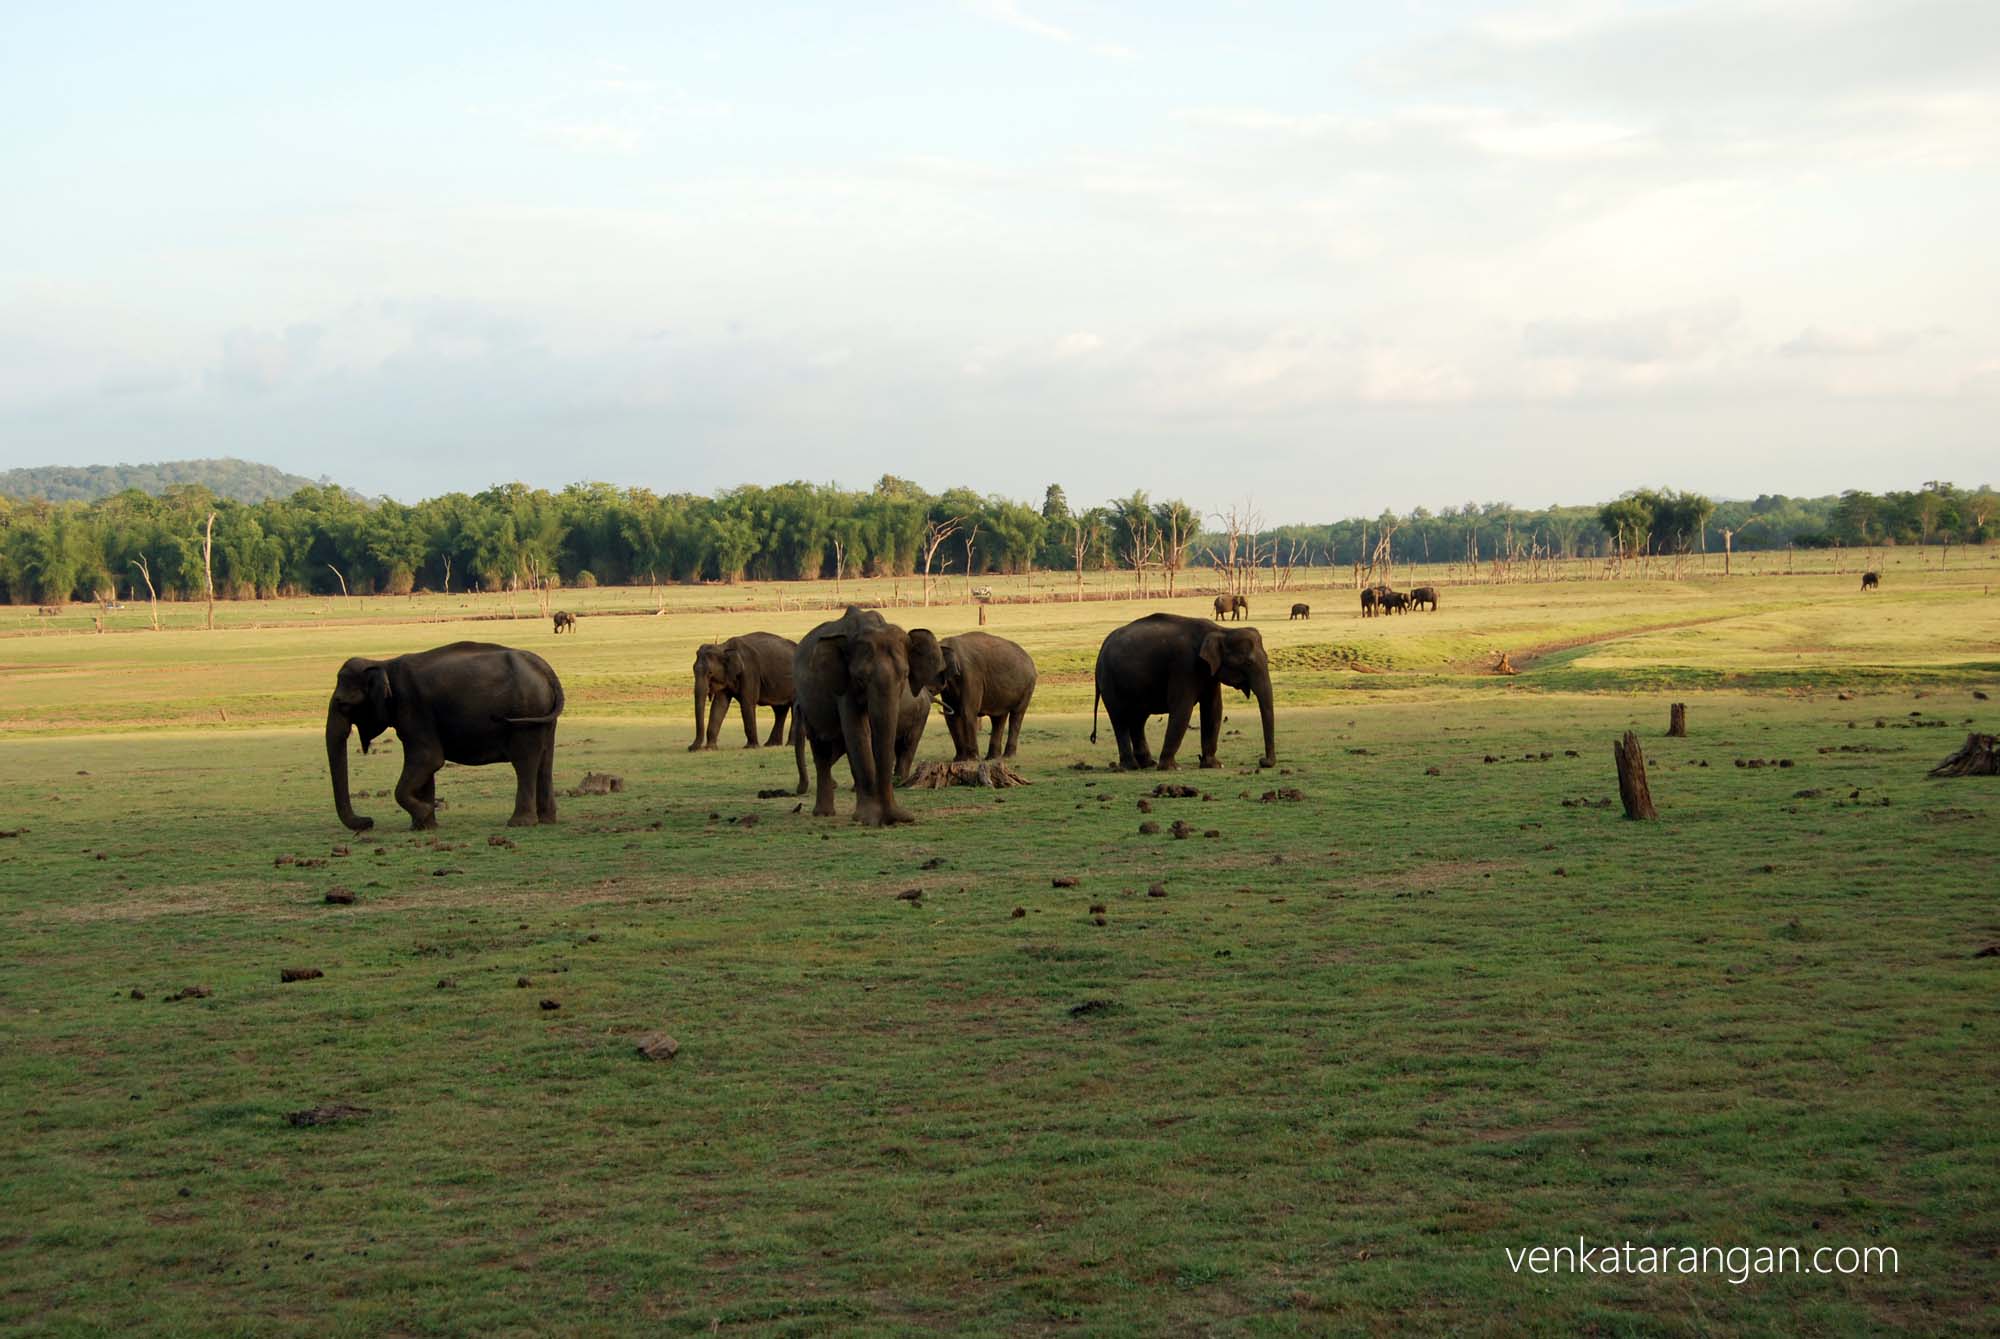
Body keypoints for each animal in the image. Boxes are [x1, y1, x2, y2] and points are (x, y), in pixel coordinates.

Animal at [325, 642, 563, 832]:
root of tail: (545, 669)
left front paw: (425, 813)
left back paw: (519, 823)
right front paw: (424, 825)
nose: (368, 822)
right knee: (544, 762)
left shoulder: (413, 707)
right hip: (543, 715)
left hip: (526, 713)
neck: (383, 664)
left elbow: (428, 759)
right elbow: (426, 766)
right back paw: (546, 820)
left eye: (342, 703)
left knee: (525, 762)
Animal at [791, 606, 945, 826]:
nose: (898, 818)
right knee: (821, 748)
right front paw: (868, 818)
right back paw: (823, 813)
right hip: (809, 705)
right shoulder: (843, 684)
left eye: (905, 676)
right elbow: (857, 731)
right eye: (860, 678)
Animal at [924, 631, 1037, 761]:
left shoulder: (970, 675)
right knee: (998, 719)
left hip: (1028, 686)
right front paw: (959, 760)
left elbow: (967, 712)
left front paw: (972, 759)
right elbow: (951, 718)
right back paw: (992, 758)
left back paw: (1007, 757)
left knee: (1016, 715)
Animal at [1091, 613, 1275, 771]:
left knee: (1138, 719)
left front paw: (1213, 765)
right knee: (1120, 719)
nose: (1263, 762)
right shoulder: (1183, 665)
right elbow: (1182, 708)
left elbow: (1213, 709)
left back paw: (1148, 764)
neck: (1221, 630)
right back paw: (1131, 766)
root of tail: (1101, 650)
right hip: (1109, 681)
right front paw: (1171, 768)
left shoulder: (1209, 672)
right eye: (1248, 662)